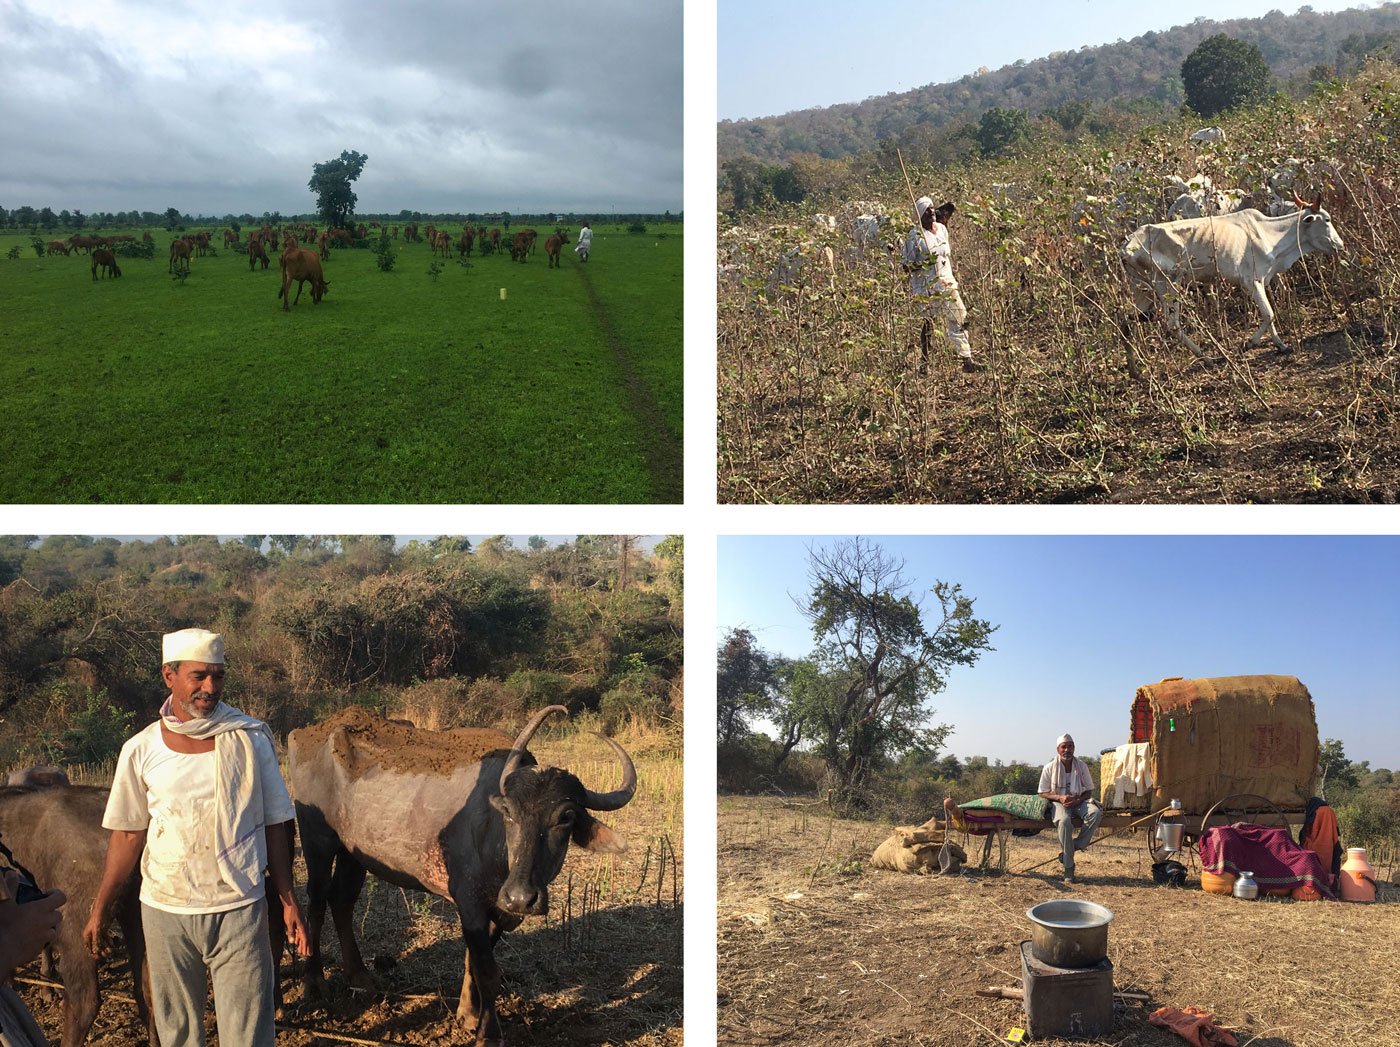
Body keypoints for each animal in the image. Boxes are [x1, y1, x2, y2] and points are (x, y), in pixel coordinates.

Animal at [292, 708, 638, 1047]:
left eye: (565, 818)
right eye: (509, 812)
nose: (521, 898)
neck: (497, 847)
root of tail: (307, 733)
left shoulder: (496, 911)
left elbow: (474, 963)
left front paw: (469, 1015)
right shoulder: (469, 902)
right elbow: (487, 973)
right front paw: (490, 1034)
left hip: (353, 854)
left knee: (342, 902)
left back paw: (360, 977)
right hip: (317, 840)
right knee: (317, 904)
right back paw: (314, 983)